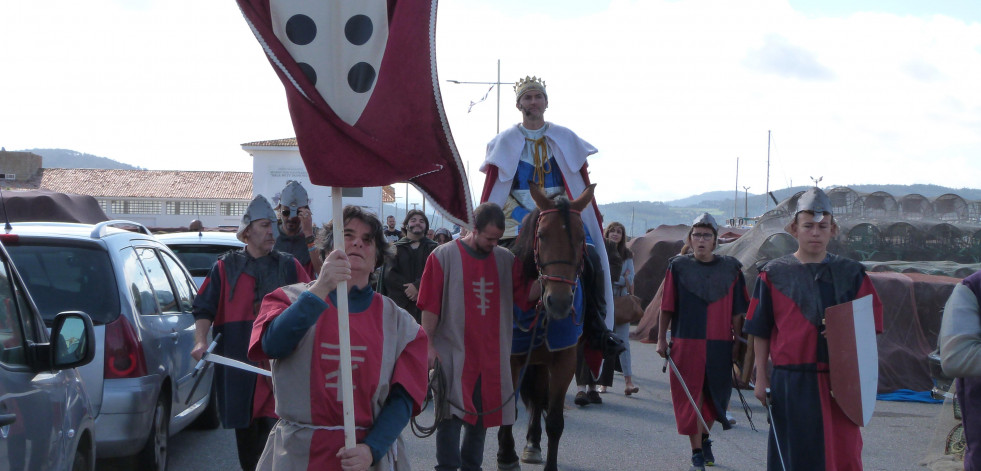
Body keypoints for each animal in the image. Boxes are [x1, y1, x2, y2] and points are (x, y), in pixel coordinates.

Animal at [494, 183, 592, 471]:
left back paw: (533, 444)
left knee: (537, 397)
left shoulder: (564, 361)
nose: (558, 302)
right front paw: (506, 455)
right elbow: (509, 409)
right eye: (541, 235)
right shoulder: (512, 358)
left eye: (581, 237)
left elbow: (555, 421)